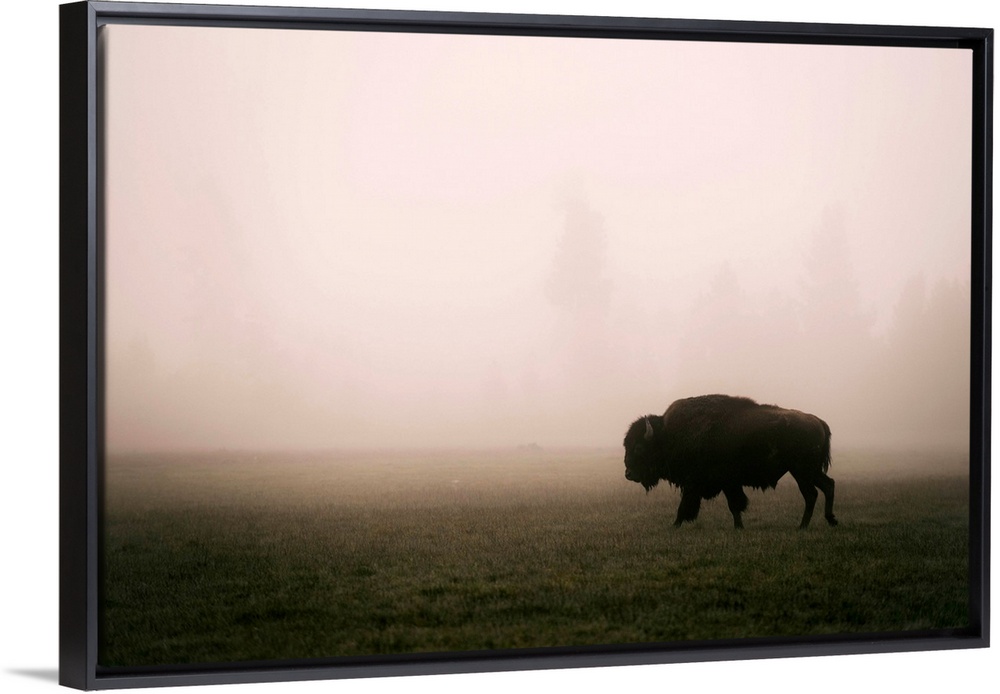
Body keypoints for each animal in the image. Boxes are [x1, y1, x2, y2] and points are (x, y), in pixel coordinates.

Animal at [624, 394, 836, 532]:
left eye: (639, 447)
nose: (628, 473)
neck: (668, 435)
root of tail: (818, 421)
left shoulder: (711, 482)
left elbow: (724, 504)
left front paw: (675, 525)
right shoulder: (722, 484)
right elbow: (733, 505)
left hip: (802, 472)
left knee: (812, 494)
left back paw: (803, 526)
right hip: (809, 471)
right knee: (827, 486)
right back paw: (829, 520)